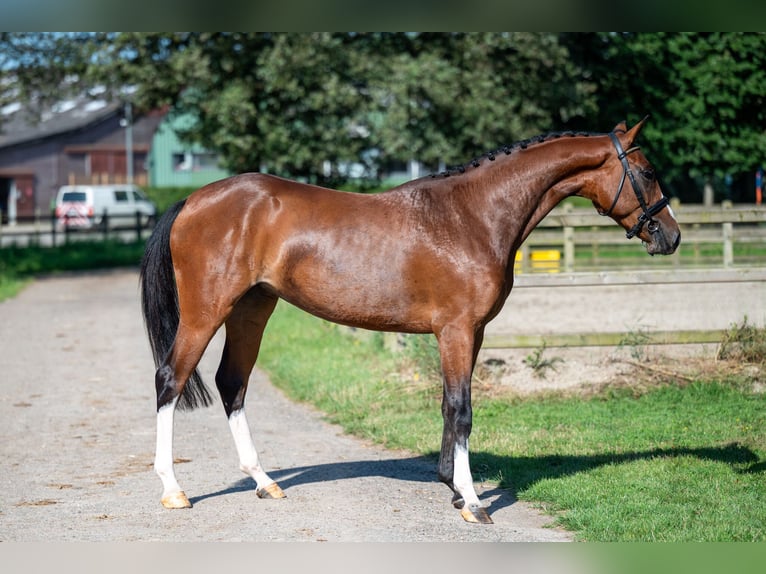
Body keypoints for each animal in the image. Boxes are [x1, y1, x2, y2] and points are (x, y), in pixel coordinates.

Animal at [141, 118, 680, 528]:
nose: (670, 236)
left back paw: (264, 482)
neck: (470, 217)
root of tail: (192, 201)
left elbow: (448, 406)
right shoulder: (456, 331)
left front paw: (454, 488)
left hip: (253, 310)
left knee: (231, 384)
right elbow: (462, 410)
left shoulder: (471, 333)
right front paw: (474, 502)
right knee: (171, 379)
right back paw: (173, 490)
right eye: (648, 172)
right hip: (207, 312)